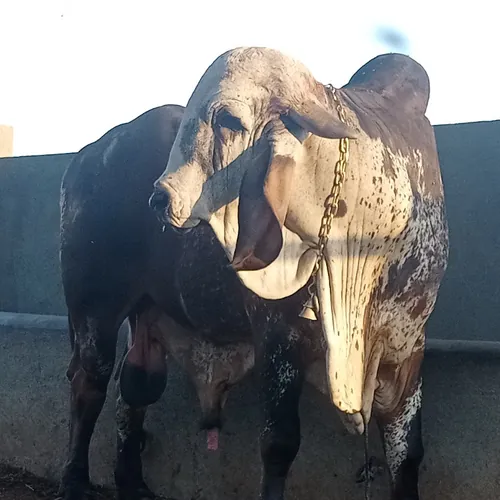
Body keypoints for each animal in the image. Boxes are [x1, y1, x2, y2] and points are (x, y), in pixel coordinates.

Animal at [58, 104, 255, 500]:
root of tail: (88, 154)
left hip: (146, 310)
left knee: (134, 389)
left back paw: (131, 481)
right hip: (95, 306)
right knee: (90, 381)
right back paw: (75, 481)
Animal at [150, 47, 449, 500]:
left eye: (229, 121)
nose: (160, 198)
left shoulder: (408, 345)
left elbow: (406, 452)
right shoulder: (278, 337)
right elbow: (278, 445)